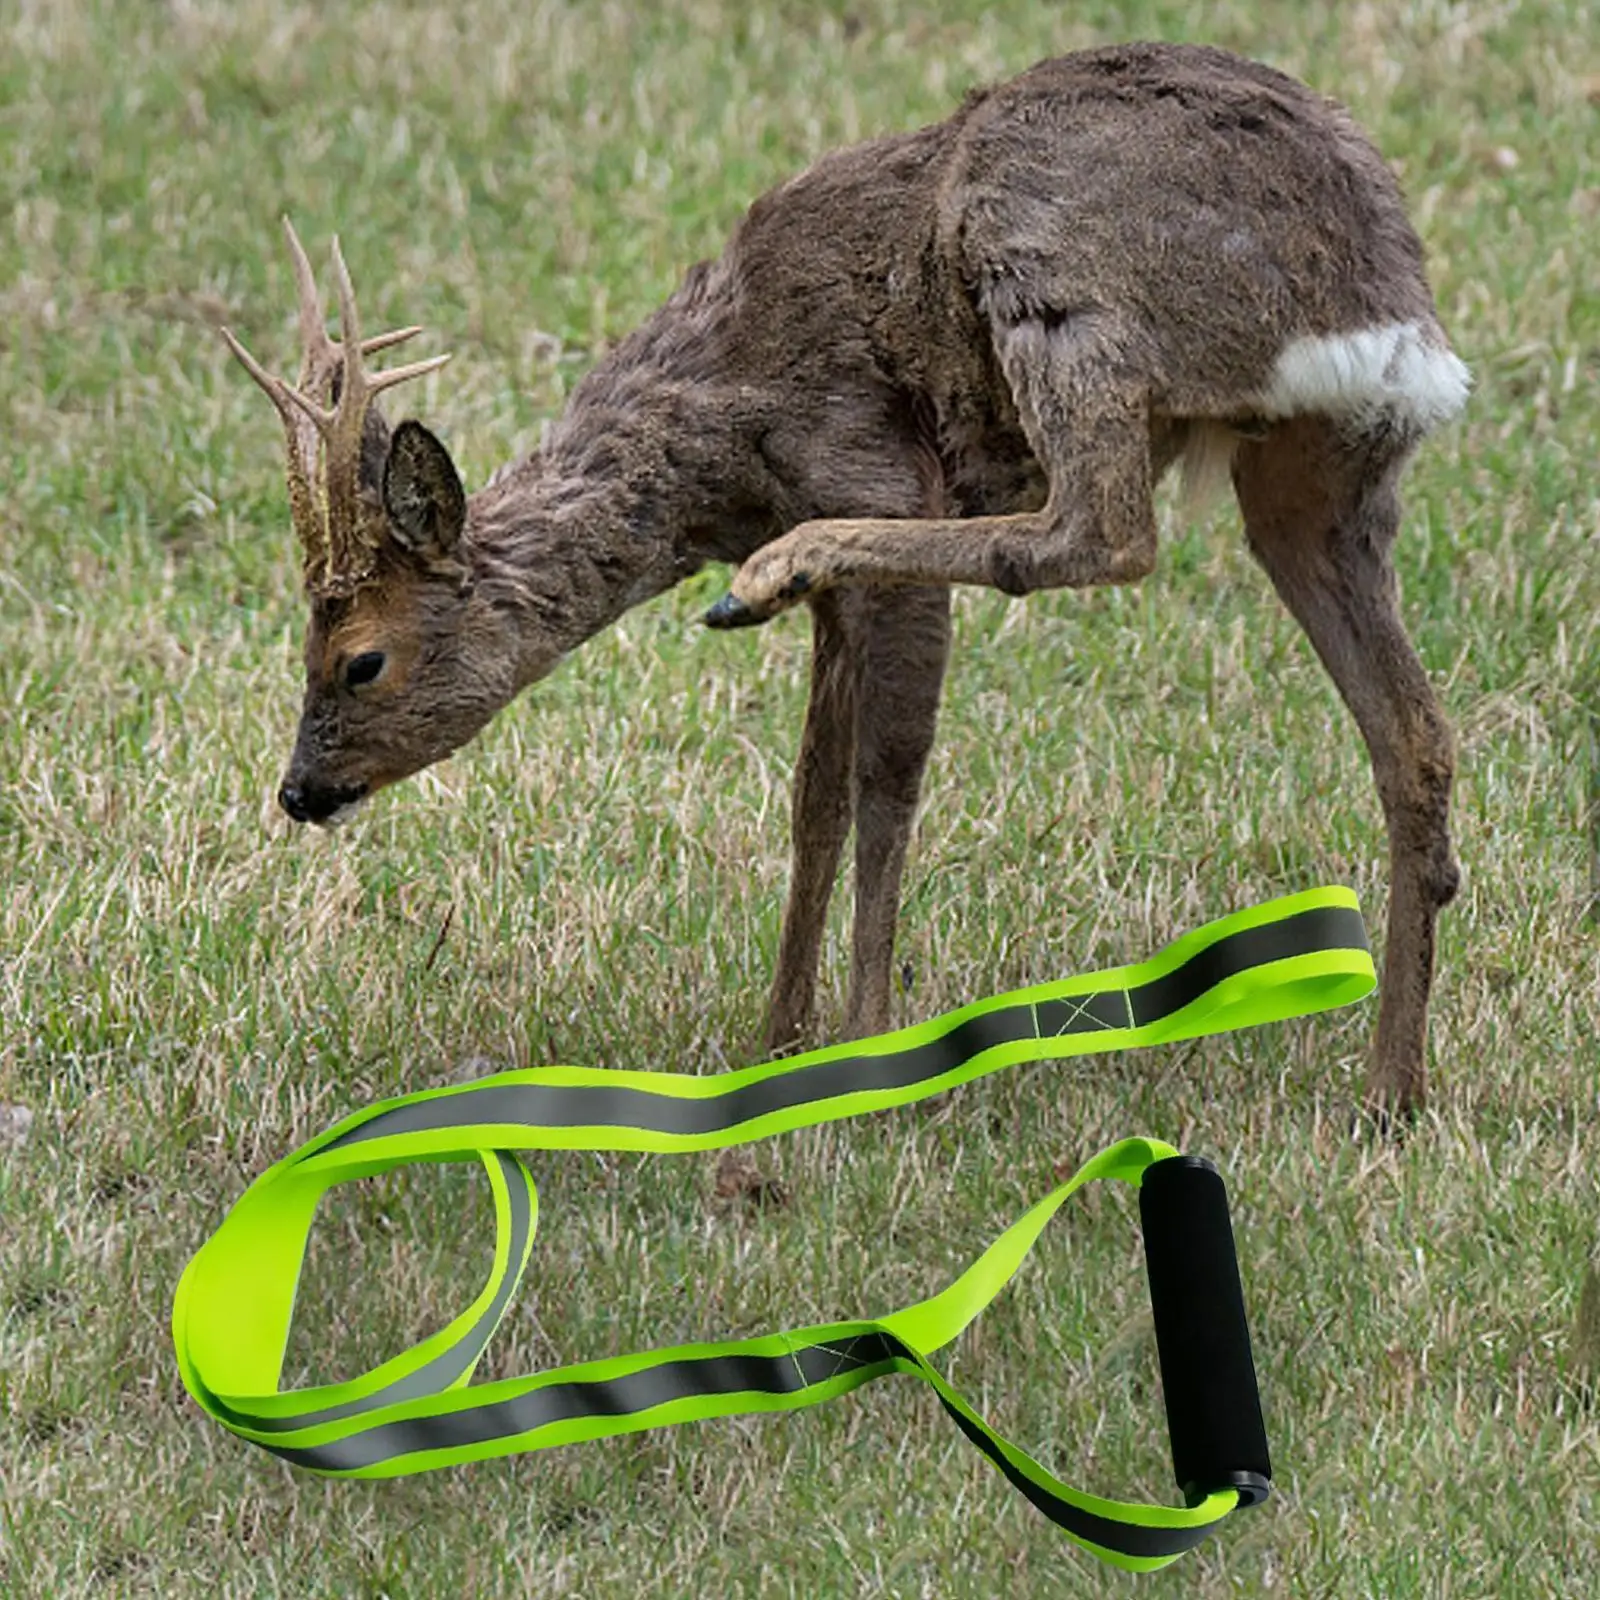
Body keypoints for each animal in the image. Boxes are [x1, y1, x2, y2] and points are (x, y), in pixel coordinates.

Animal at [222, 37, 1465, 1113]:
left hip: (1059, 286)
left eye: (359, 660)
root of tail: (1376, 292)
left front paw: (866, 1049)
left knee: (1102, 529)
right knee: (1412, 728)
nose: (299, 789)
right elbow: (812, 794)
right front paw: (776, 1038)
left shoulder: (876, 478)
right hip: (1315, 471)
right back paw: (1389, 1090)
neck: (720, 436)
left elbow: (885, 778)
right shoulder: (833, 600)